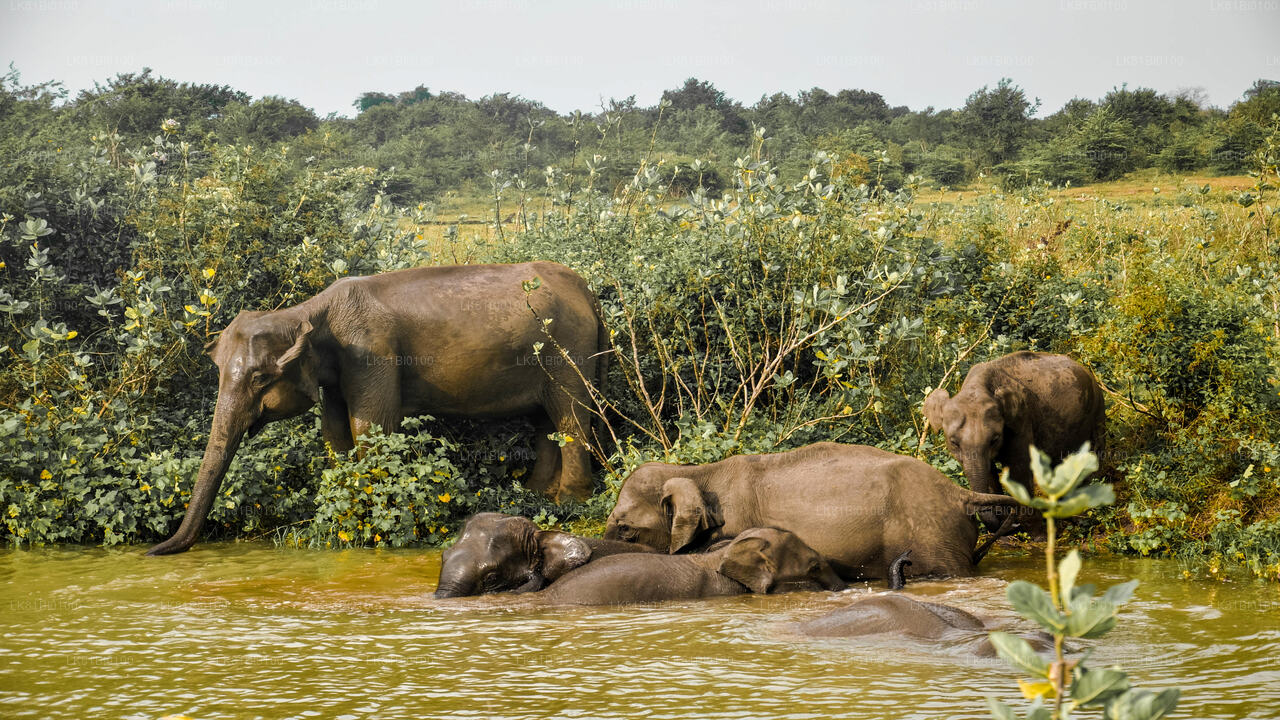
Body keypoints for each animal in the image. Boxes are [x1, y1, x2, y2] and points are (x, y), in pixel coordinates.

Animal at [147, 262, 606, 556]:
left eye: (259, 378)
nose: (154, 550)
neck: (308, 312)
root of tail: (586, 289)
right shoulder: (337, 372)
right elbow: (335, 433)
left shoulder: (372, 353)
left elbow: (372, 428)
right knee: (545, 419)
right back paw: (538, 495)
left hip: (569, 348)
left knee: (570, 415)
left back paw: (570, 502)